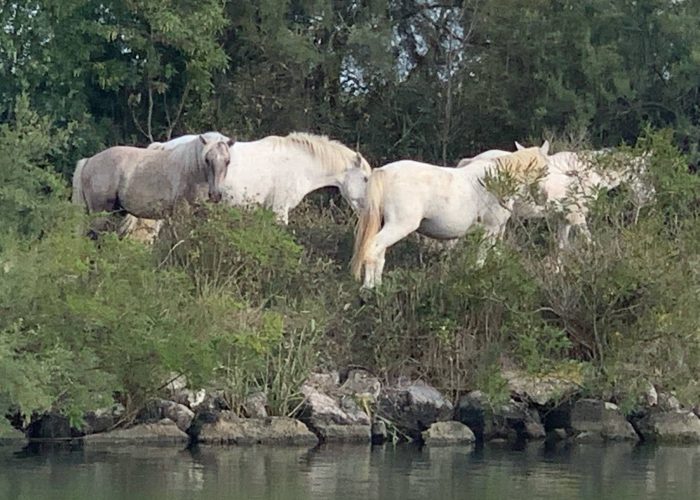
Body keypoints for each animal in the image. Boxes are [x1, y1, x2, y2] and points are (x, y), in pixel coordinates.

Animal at [350, 147, 548, 290]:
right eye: (547, 169)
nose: (544, 198)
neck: (500, 181)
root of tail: (383, 172)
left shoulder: (497, 229)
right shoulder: (490, 228)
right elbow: (482, 255)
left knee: (379, 252)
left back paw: (376, 285)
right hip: (399, 226)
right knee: (373, 247)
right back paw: (369, 287)